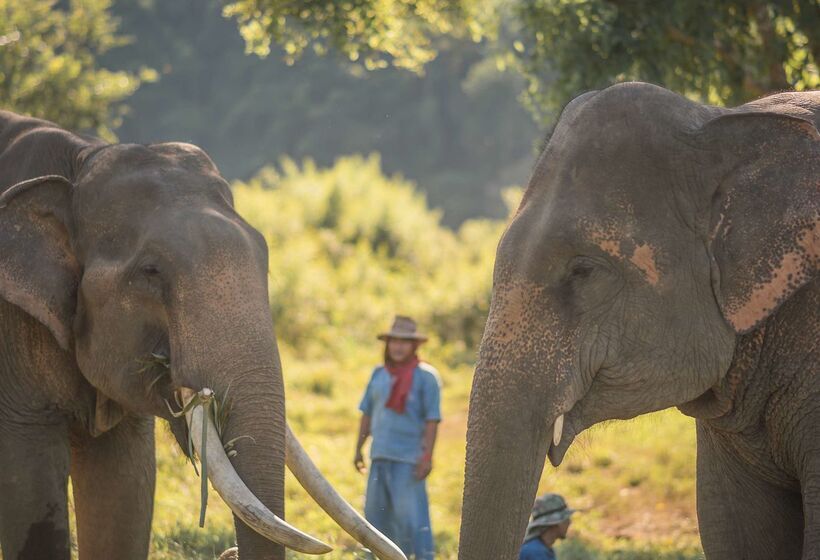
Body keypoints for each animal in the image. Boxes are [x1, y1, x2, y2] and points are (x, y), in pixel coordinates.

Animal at [0, 110, 406, 560]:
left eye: (265, 255)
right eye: (151, 272)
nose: (226, 550)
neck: (80, 160)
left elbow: (125, 493)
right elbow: (32, 488)